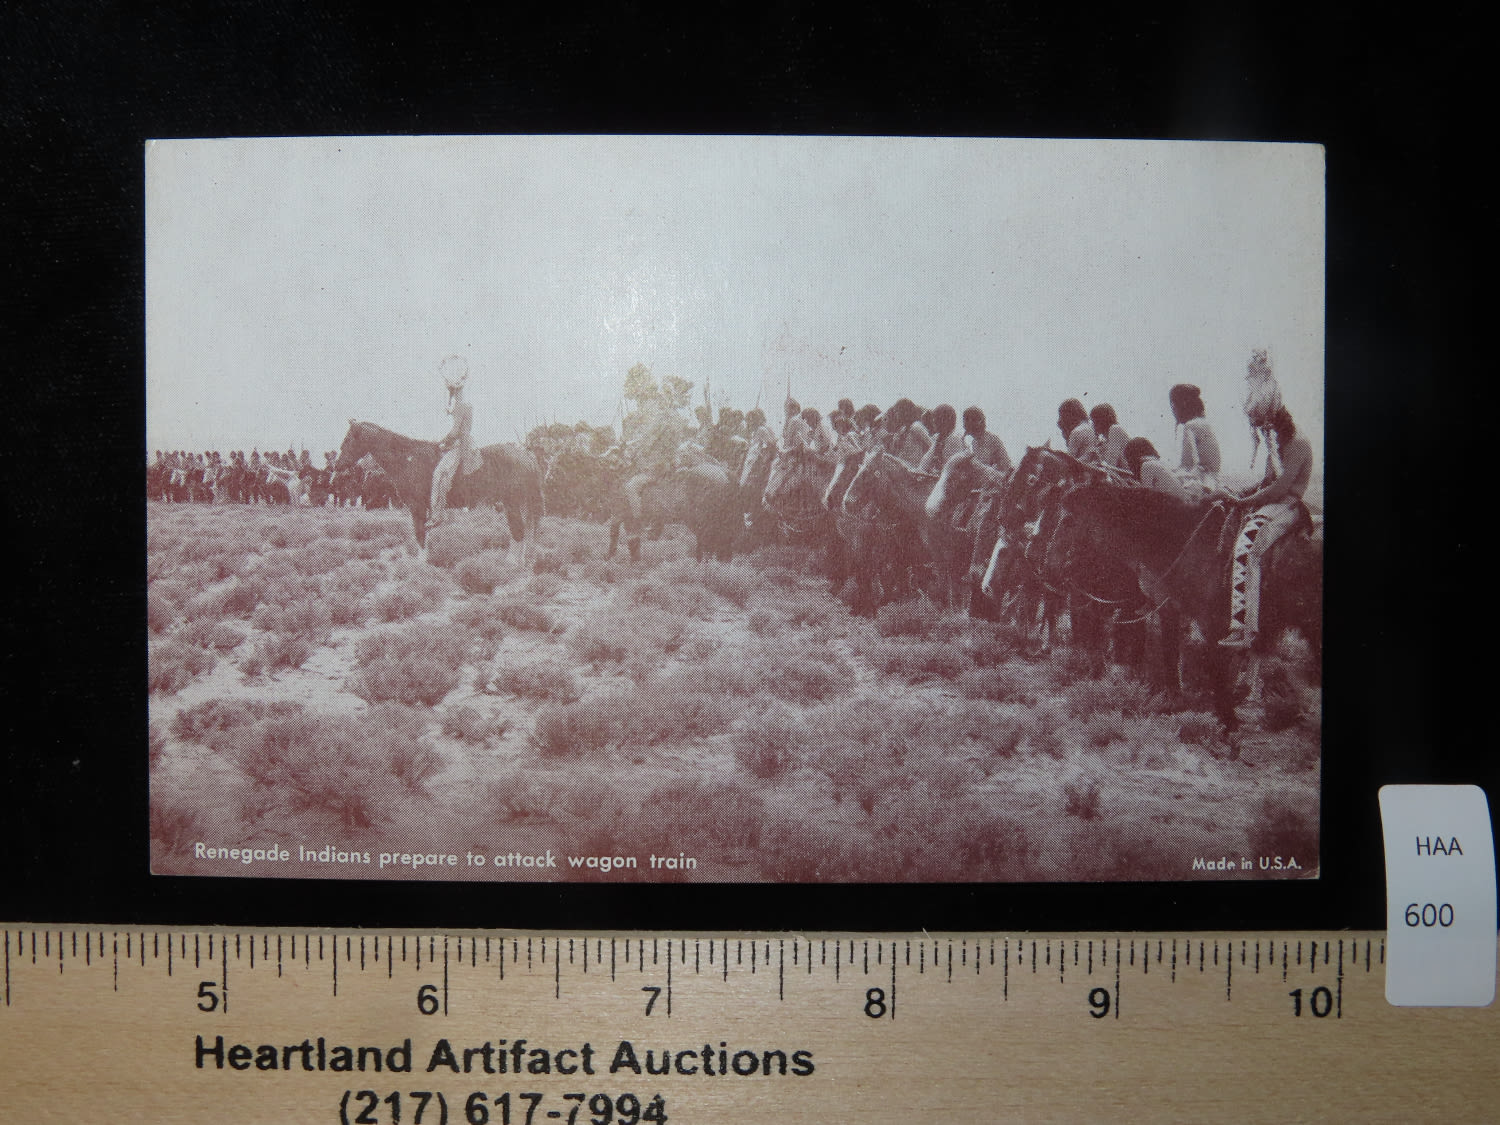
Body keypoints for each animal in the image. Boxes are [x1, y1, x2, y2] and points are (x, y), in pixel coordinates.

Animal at [334, 420, 543, 563]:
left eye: (348, 440)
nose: (338, 465)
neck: (408, 459)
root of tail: (526, 455)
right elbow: (423, 534)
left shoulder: (417, 507)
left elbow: (420, 533)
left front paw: (421, 562)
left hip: (512, 503)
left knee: (518, 531)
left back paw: (512, 563)